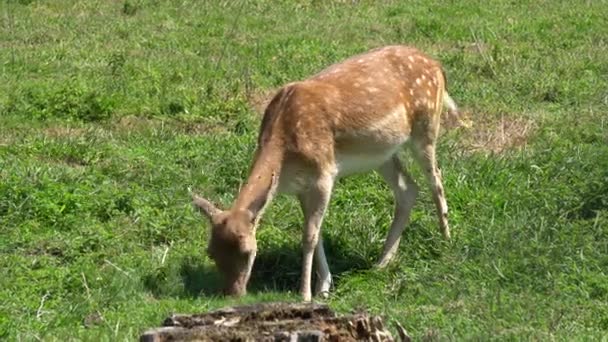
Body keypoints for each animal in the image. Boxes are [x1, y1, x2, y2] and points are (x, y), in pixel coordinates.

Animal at [192, 45, 458, 302]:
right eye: (210, 252)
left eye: (247, 251)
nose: (232, 293)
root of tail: (437, 66)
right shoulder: (300, 187)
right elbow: (316, 232)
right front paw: (324, 288)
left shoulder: (324, 174)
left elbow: (309, 235)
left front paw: (306, 294)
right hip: (381, 153)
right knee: (408, 188)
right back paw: (382, 262)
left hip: (425, 128)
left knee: (436, 179)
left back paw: (445, 241)